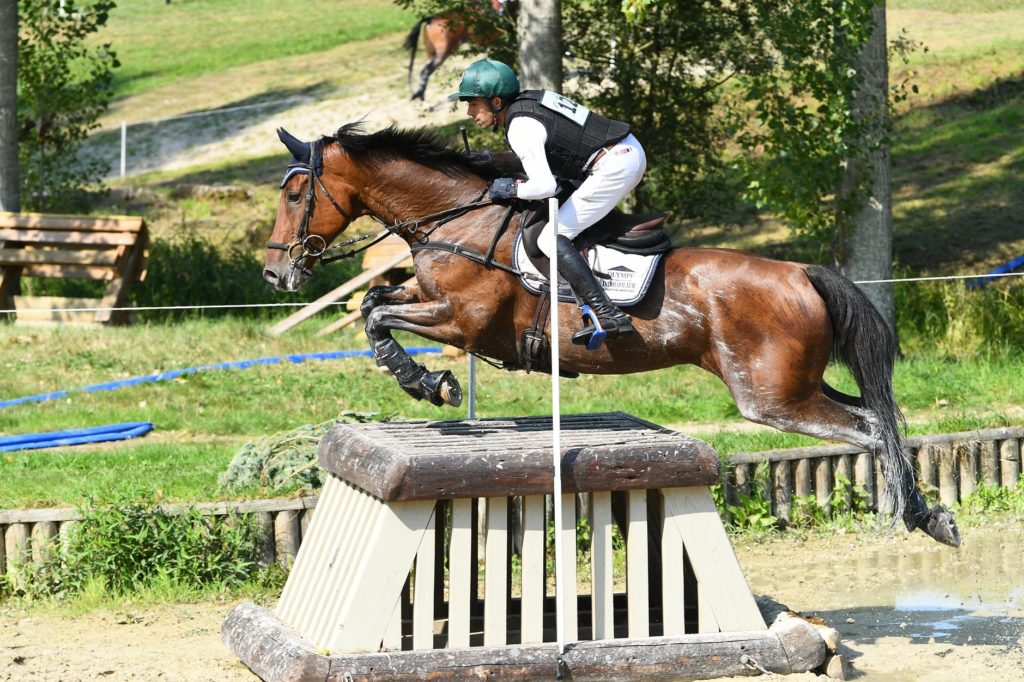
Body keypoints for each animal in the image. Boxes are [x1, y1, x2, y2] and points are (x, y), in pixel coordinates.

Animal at [262, 122, 958, 548]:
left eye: (296, 194)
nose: (275, 271)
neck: (458, 219)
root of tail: (800, 271)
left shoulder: (462, 320)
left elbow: (380, 316)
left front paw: (427, 382)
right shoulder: (431, 301)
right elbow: (374, 303)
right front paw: (422, 379)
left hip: (770, 397)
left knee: (868, 427)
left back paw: (909, 516)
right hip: (795, 384)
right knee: (875, 416)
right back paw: (926, 515)